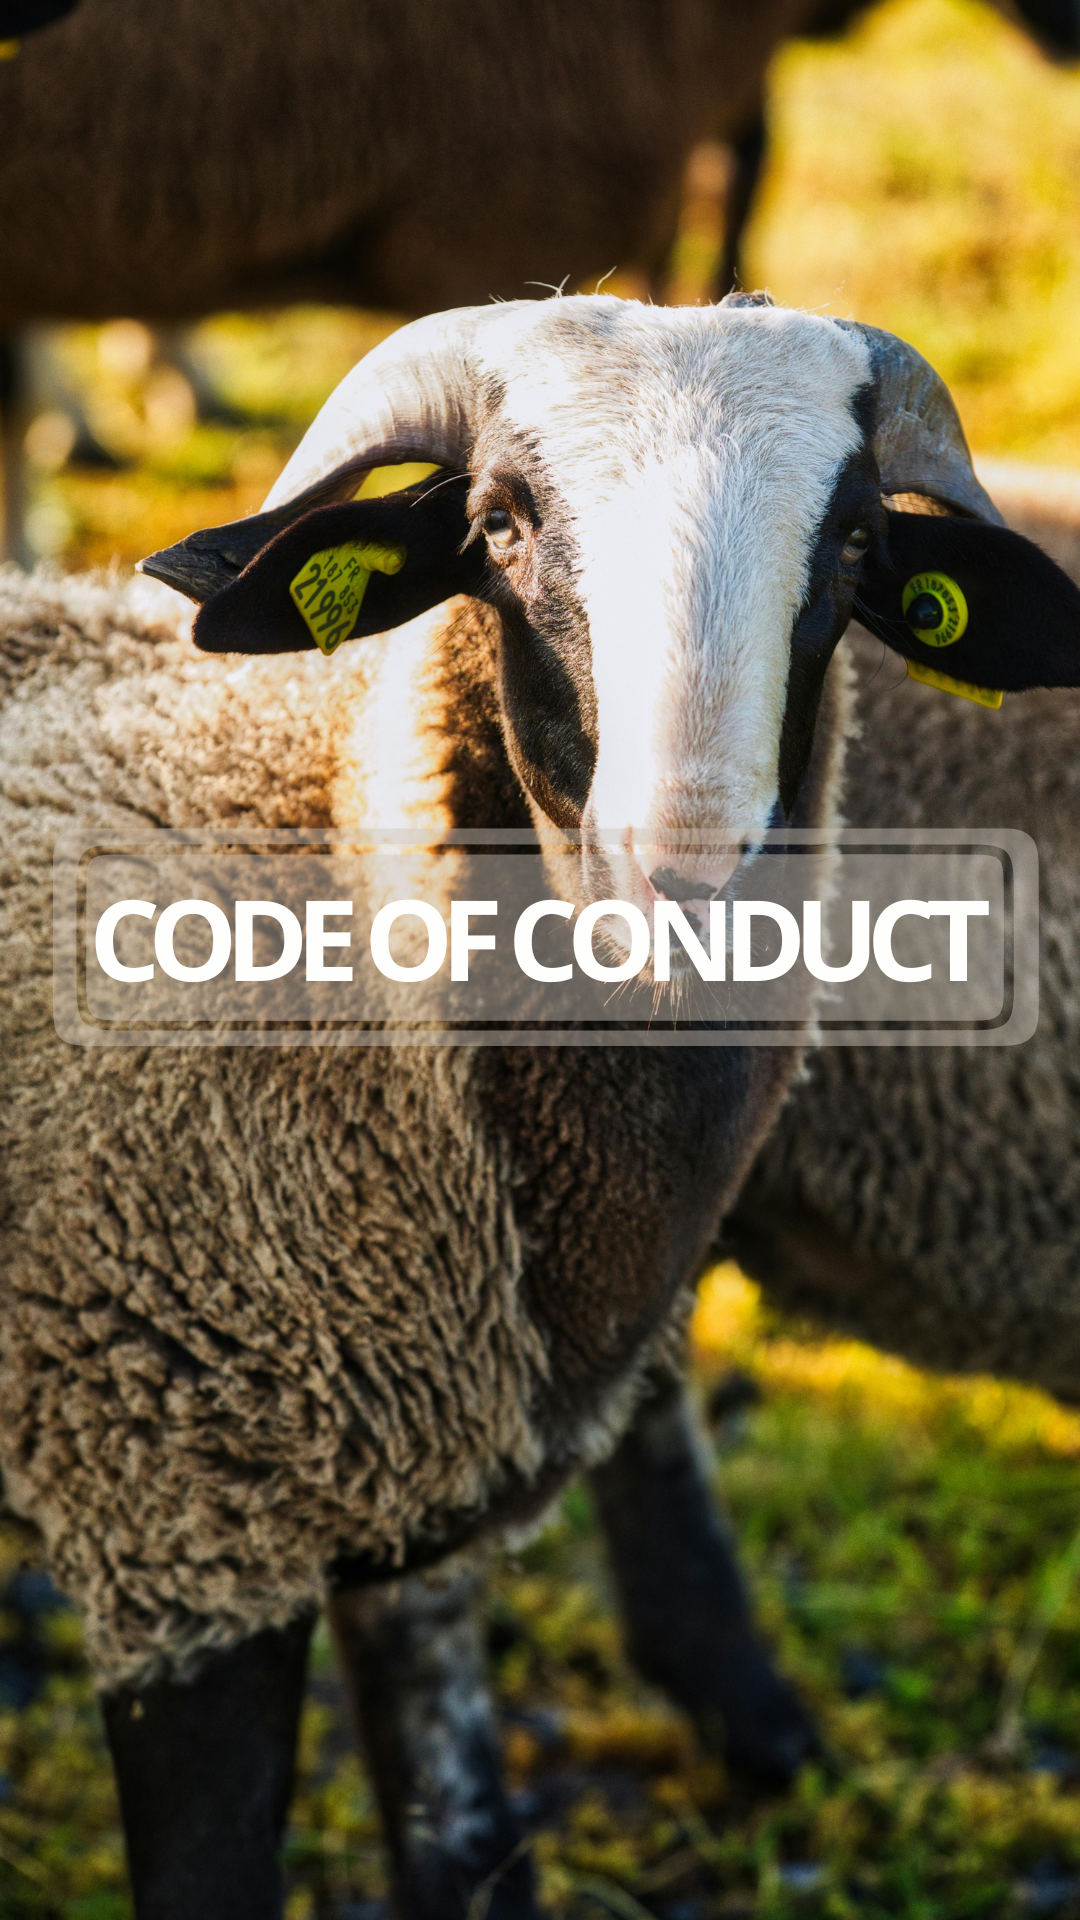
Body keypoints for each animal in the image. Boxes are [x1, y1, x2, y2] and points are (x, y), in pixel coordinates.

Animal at [4, 291, 1078, 1918]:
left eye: (847, 550)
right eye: (500, 525)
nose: (685, 866)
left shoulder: (410, 1524)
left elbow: (464, 1840)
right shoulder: (181, 1521)